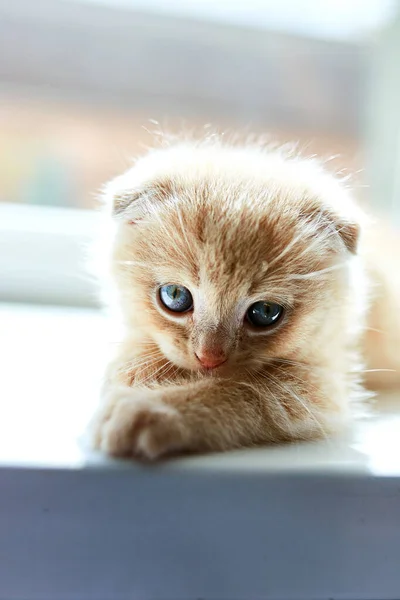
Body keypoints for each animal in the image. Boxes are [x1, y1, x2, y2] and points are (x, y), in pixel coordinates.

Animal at [92, 139, 376, 460]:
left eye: (265, 312)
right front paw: (135, 368)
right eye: (175, 296)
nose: (209, 357)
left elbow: (242, 390)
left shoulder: (321, 387)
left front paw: (148, 408)